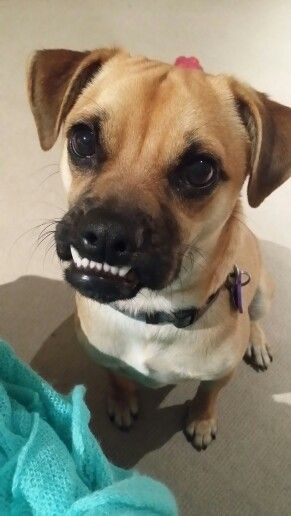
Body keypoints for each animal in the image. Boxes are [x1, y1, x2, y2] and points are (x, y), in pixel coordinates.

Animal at [28, 49, 291, 452]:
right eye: (83, 138)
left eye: (201, 170)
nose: (105, 234)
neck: (152, 312)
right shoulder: (104, 358)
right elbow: (118, 378)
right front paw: (122, 402)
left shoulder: (220, 374)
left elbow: (207, 395)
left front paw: (200, 421)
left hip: (261, 292)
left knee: (257, 318)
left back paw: (257, 342)